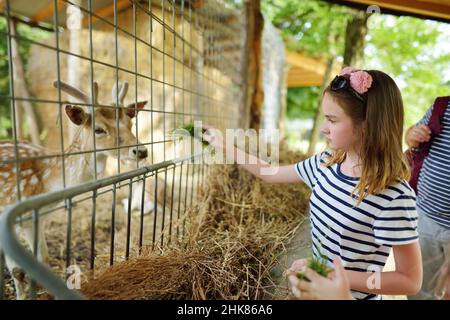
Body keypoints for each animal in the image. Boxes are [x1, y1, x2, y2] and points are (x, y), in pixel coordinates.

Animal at [0, 79, 149, 298]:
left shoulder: (36, 219)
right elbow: (18, 270)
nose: (142, 151)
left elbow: (42, 258)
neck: (44, 183)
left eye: (130, 124)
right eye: (98, 129)